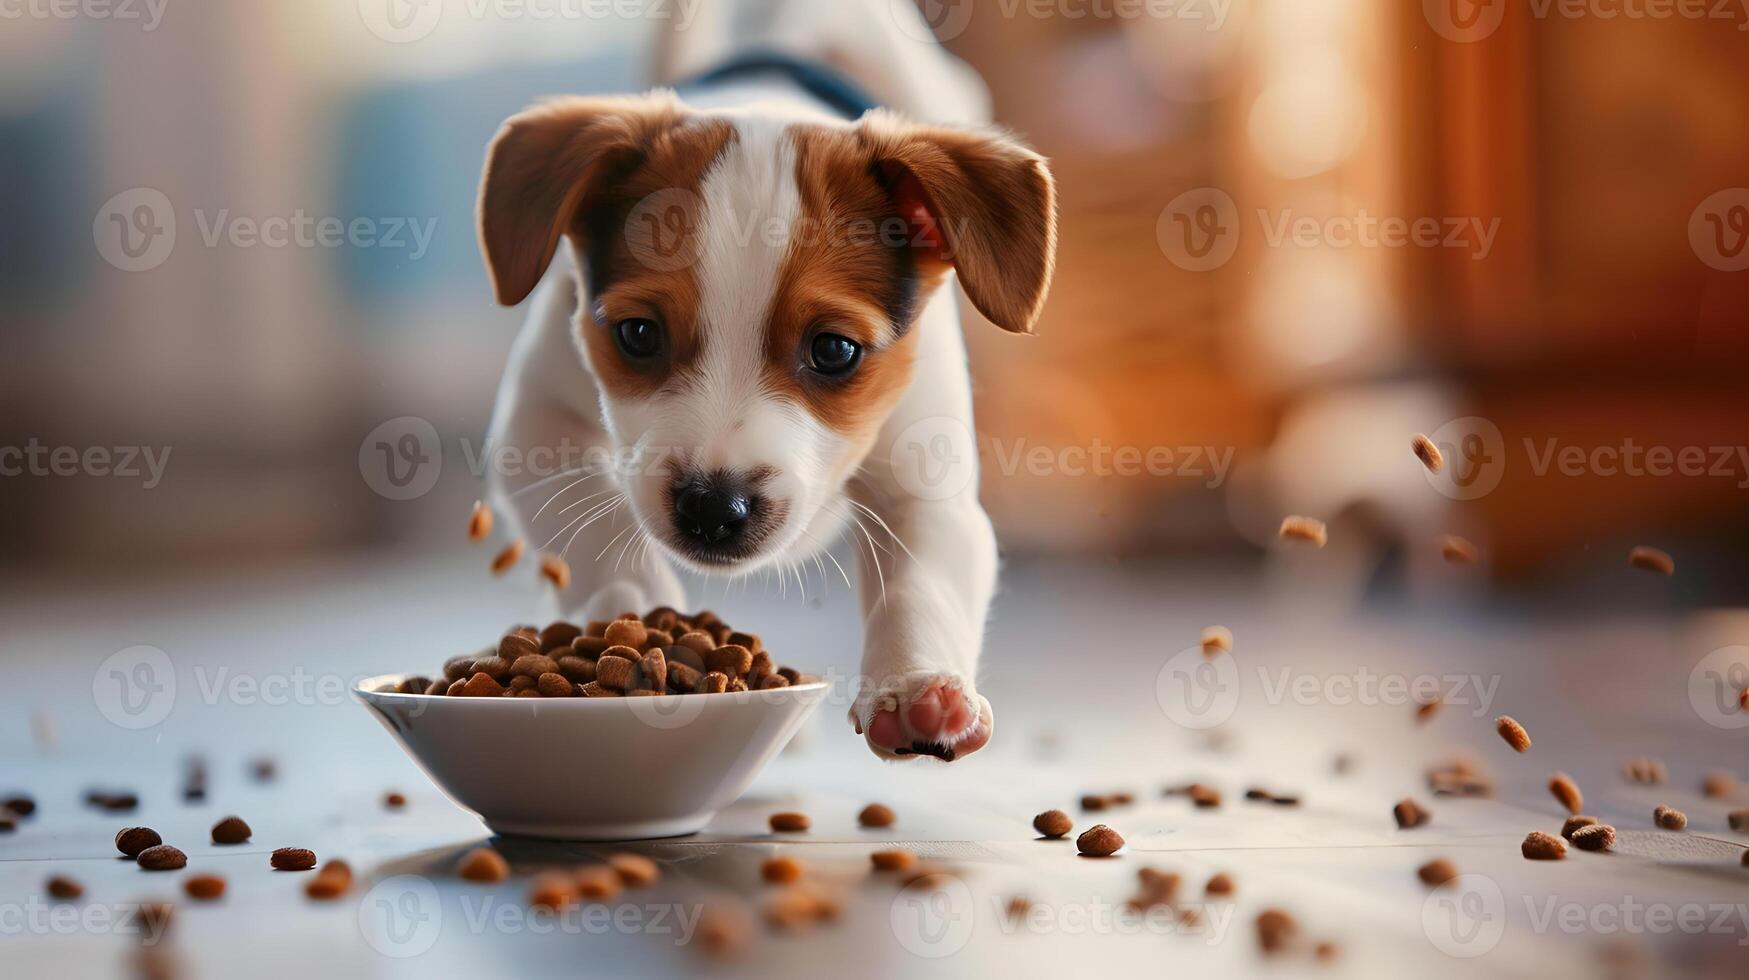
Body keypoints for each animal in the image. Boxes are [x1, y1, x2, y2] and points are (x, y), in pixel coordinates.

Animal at [472, 0, 1056, 763]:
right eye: (637, 334)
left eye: (834, 350)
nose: (711, 509)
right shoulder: (535, 426)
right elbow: (597, 543)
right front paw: (627, 626)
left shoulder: (925, 484)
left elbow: (922, 580)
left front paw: (920, 688)